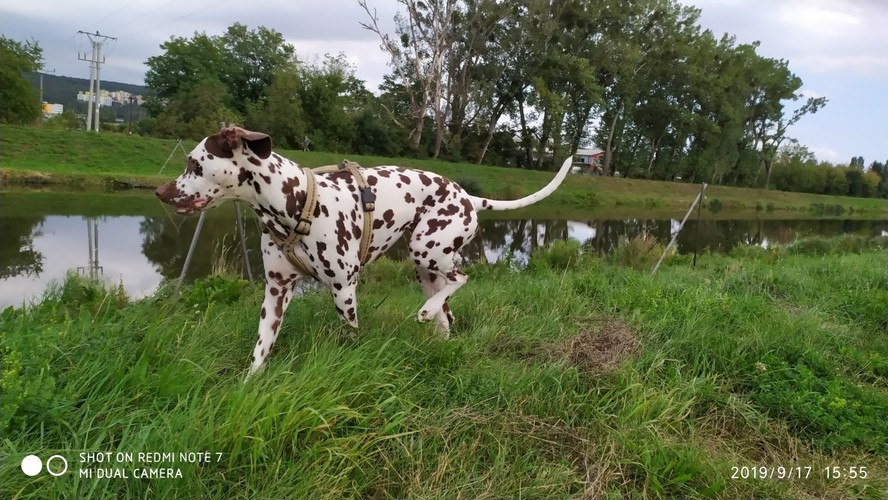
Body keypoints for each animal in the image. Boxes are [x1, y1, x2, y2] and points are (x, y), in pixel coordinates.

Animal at [155, 127, 572, 376]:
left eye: (194, 163)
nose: (159, 192)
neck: (295, 202)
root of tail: (469, 196)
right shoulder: (275, 292)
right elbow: (260, 351)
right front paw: (248, 388)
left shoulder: (343, 290)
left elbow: (351, 333)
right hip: (426, 271)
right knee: (446, 314)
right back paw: (436, 328)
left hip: (427, 250)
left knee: (462, 278)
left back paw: (425, 312)